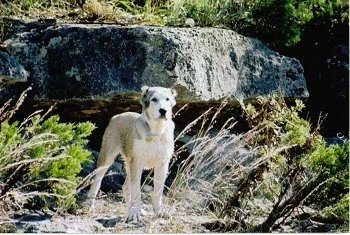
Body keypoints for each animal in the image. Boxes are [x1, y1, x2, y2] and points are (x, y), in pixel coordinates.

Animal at [86, 85, 176, 221]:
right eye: (154, 99)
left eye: (167, 99)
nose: (163, 111)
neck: (155, 133)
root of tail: (117, 116)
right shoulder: (137, 163)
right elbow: (136, 190)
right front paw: (134, 213)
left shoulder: (162, 164)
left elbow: (158, 191)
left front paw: (159, 211)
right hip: (107, 158)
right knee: (97, 180)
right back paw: (89, 204)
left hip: (129, 164)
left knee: (125, 187)